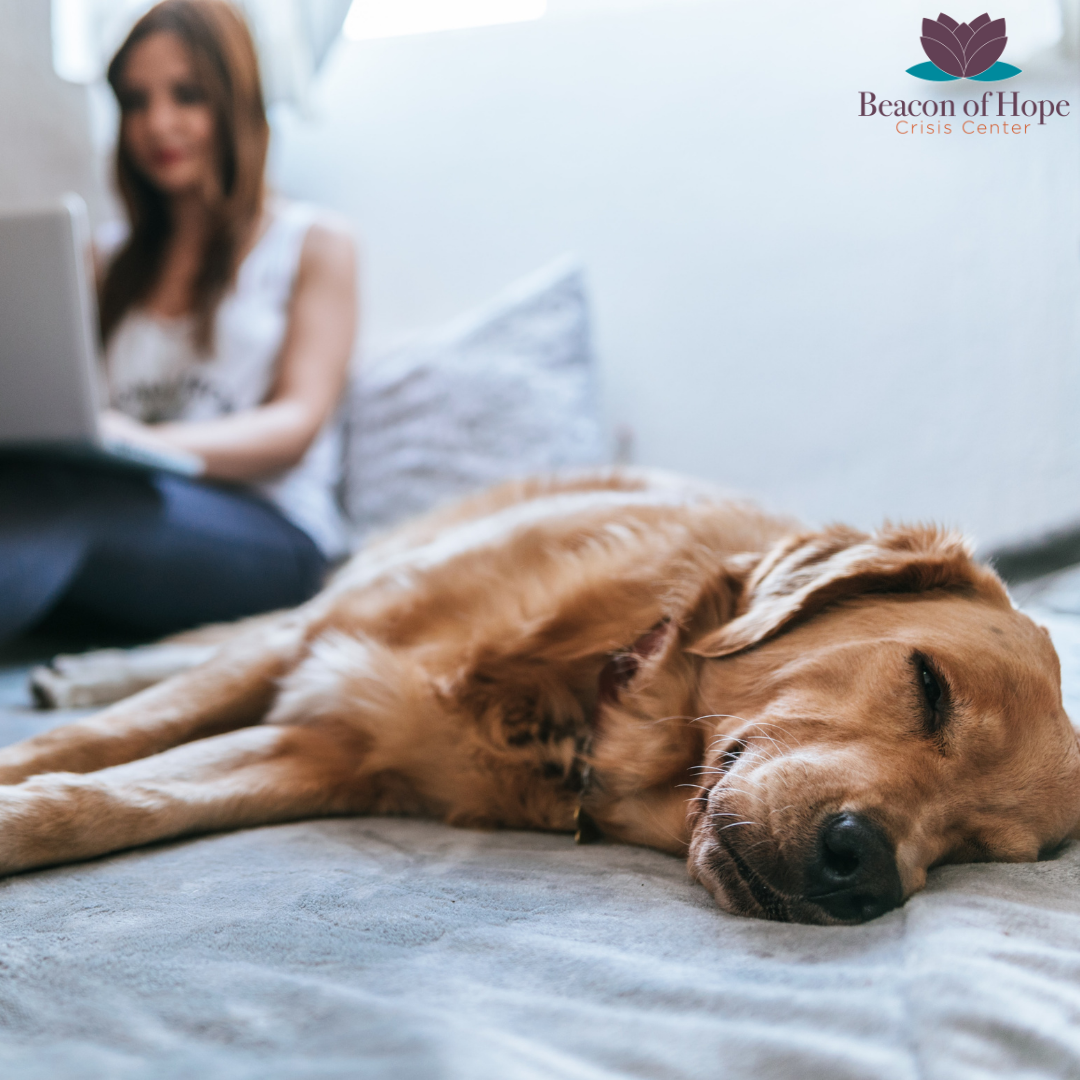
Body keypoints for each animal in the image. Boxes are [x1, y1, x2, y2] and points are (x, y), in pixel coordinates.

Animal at [2, 468, 1080, 924]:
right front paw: (33, 755)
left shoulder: (327, 753)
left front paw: (27, 820)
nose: (864, 873)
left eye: (980, 849)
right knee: (209, 638)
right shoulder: (315, 648)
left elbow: (121, 797)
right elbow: (96, 745)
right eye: (929, 686)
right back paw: (82, 667)